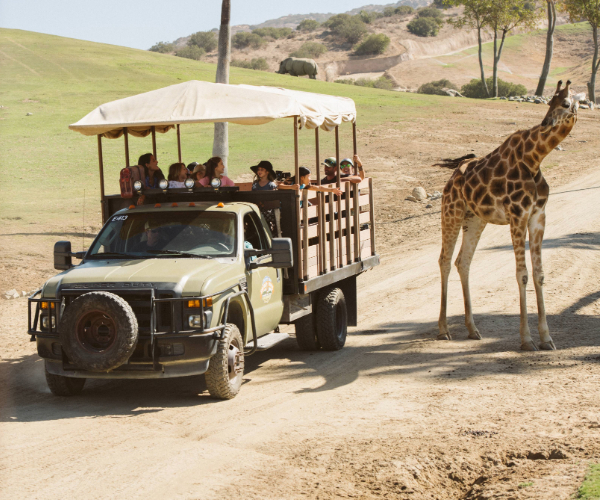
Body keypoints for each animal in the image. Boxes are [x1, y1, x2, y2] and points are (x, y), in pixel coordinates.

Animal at [438, 80, 580, 350]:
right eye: (550, 102)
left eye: (566, 103)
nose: (547, 123)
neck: (534, 159)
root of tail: (452, 177)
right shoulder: (517, 215)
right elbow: (522, 274)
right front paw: (527, 340)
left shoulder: (538, 216)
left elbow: (539, 274)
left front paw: (547, 339)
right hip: (451, 212)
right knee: (444, 261)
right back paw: (443, 330)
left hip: (475, 219)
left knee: (463, 261)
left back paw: (473, 329)